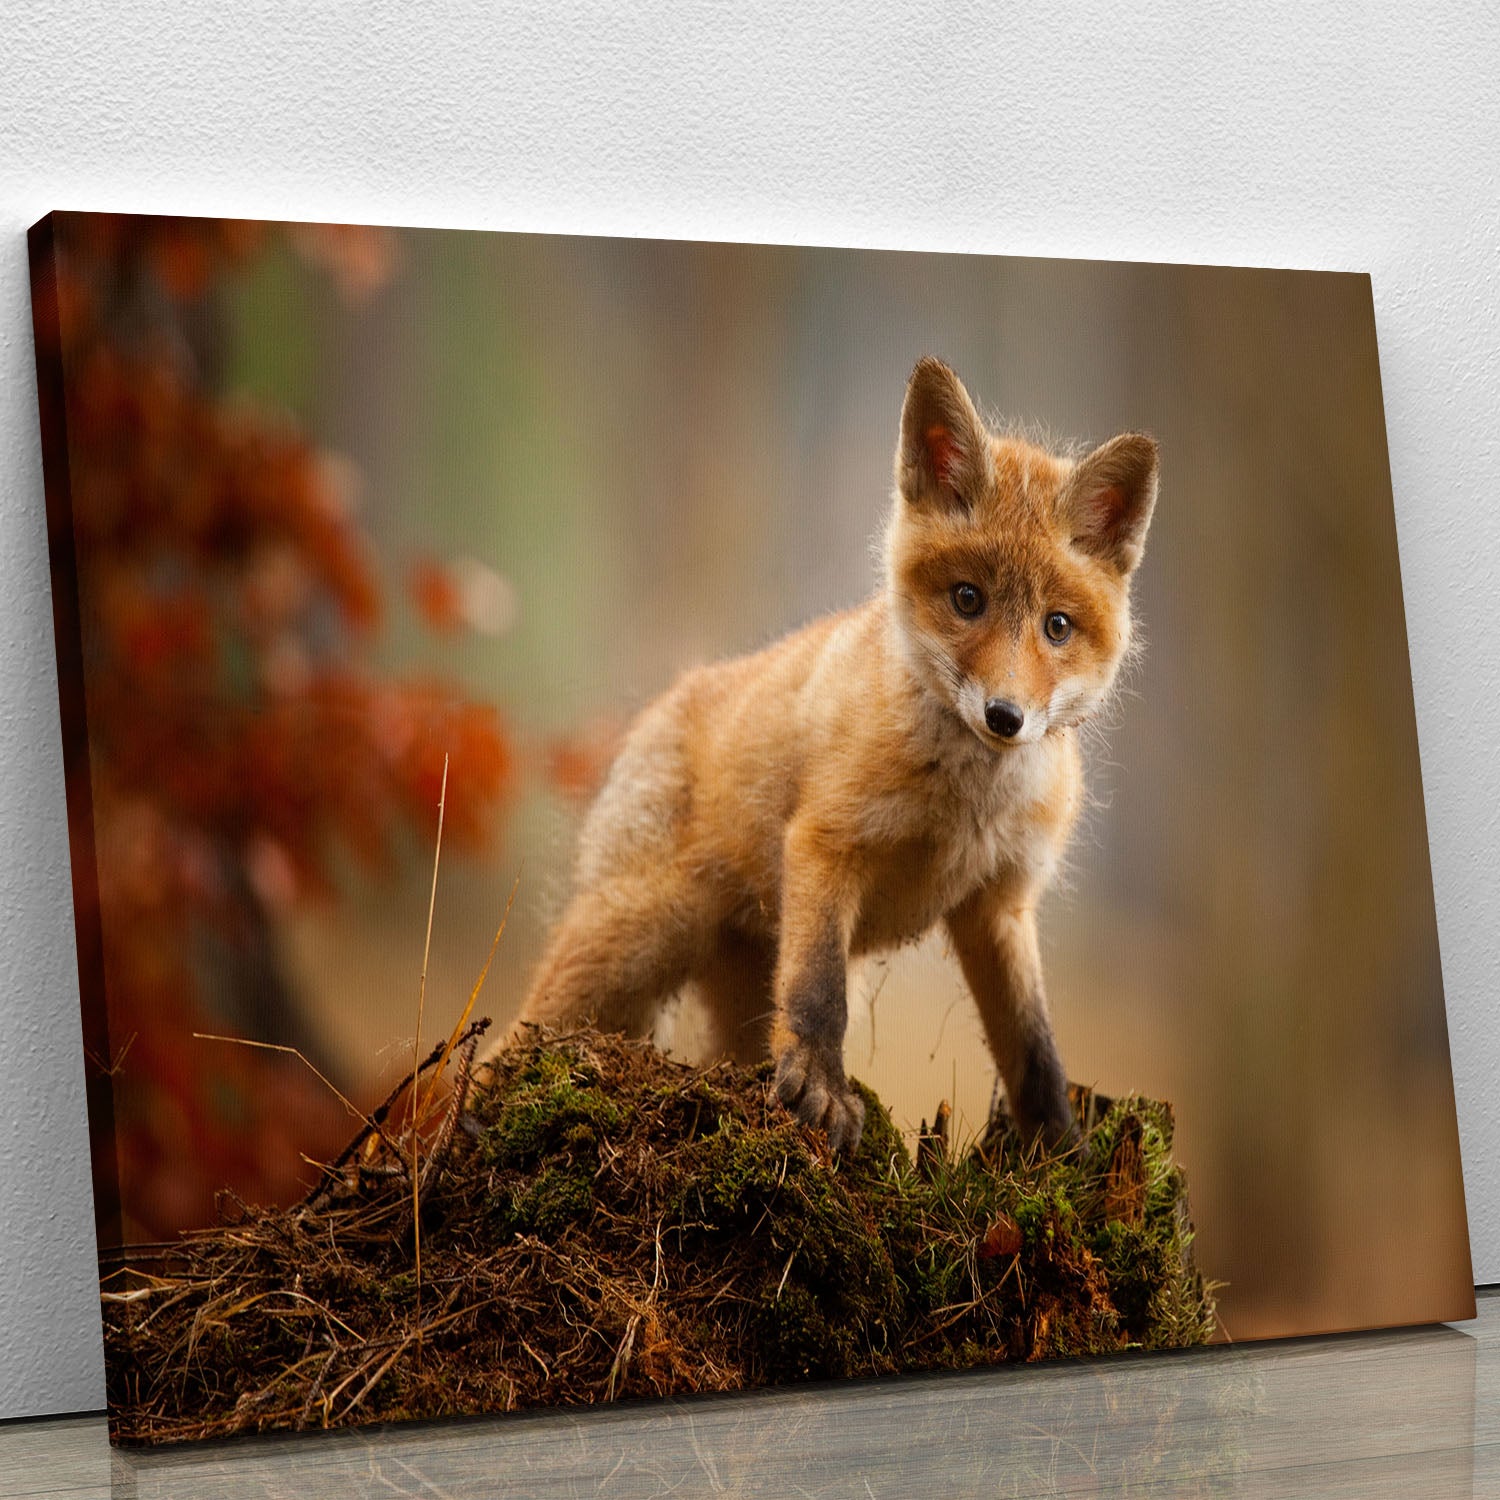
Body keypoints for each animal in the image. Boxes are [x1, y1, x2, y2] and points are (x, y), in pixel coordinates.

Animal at [507, 356, 1158, 1156]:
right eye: (967, 599)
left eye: (1057, 626)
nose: (1005, 718)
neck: (963, 808)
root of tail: (667, 700)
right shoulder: (827, 844)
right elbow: (821, 994)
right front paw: (821, 1089)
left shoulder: (999, 904)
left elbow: (1035, 1050)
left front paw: (1059, 1150)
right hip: (632, 941)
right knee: (507, 1042)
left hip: (730, 987)